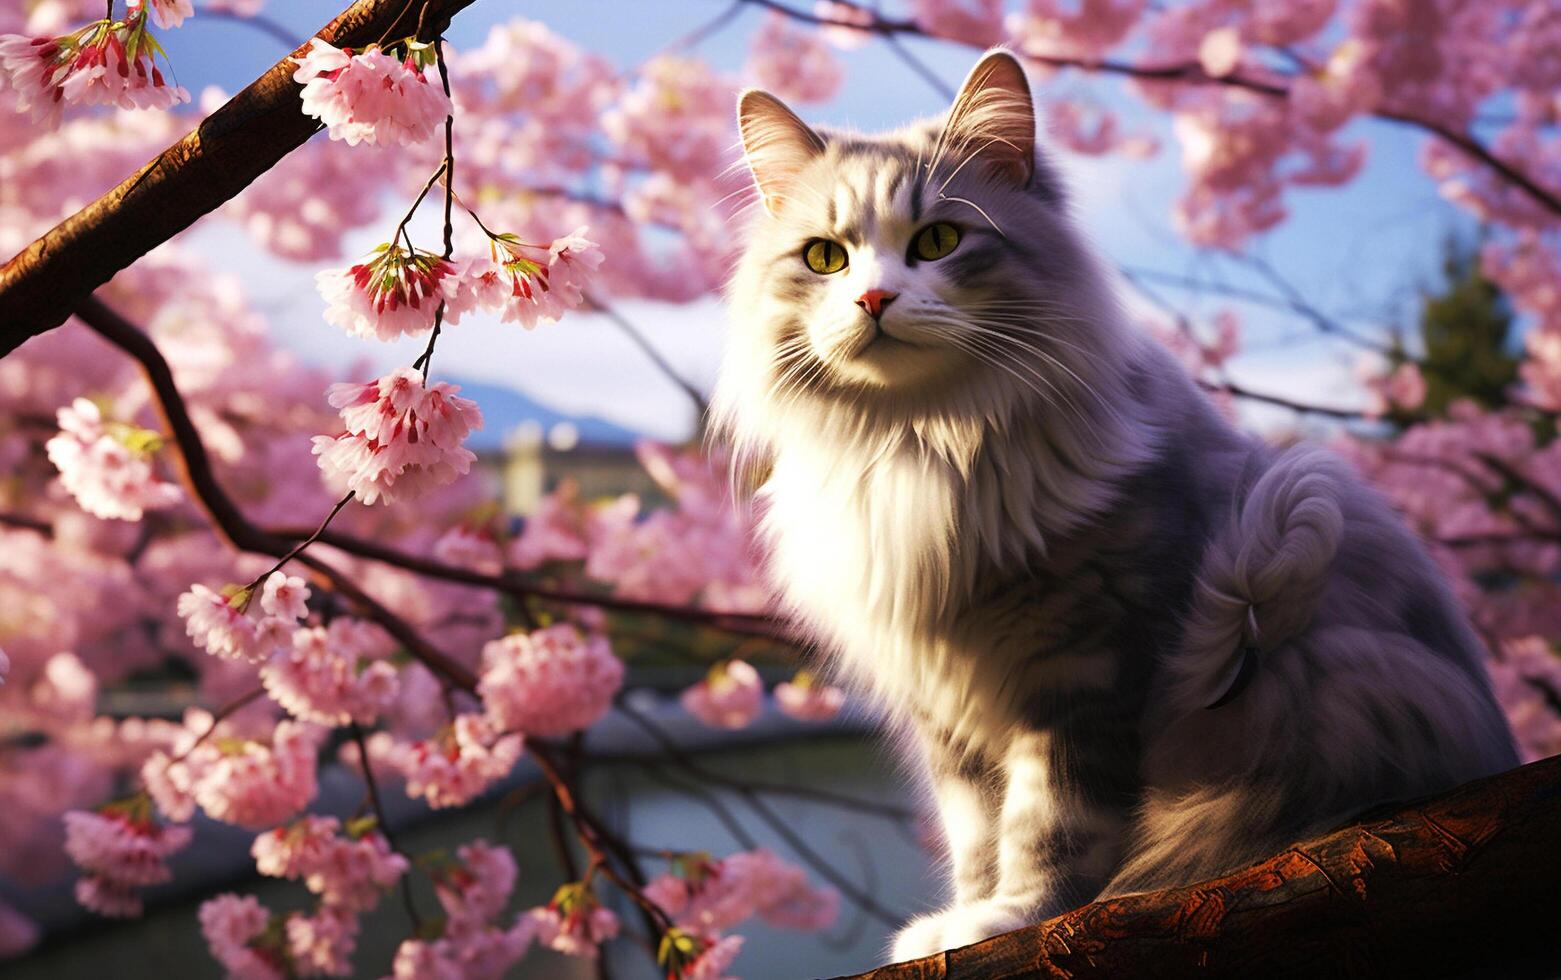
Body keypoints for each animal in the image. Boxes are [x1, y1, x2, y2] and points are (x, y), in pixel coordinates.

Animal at [714, 49, 1517, 961]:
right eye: (824, 259)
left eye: (938, 241)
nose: (873, 301)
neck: (923, 444)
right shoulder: (943, 708)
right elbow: (973, 833)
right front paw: (957, 924)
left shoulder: (1084, 667)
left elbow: (1049, 824)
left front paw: (1014, 918)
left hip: (1292, 561)